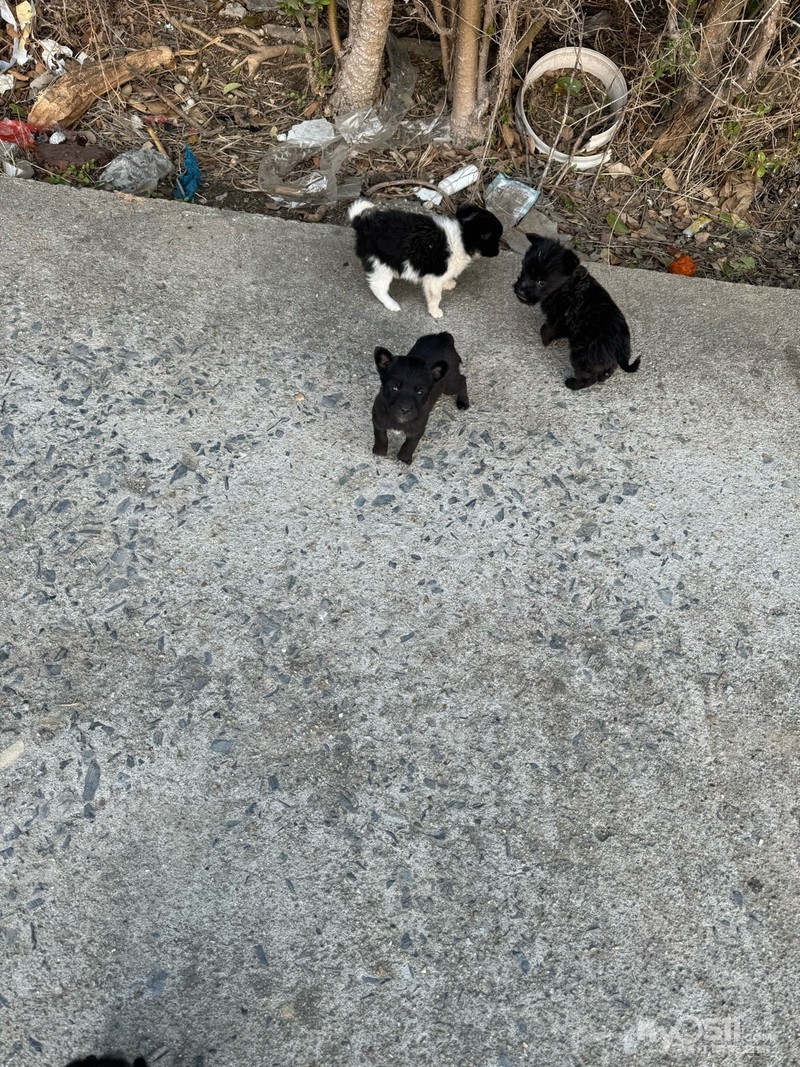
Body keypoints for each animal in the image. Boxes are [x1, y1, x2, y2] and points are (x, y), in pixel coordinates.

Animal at [349, 199, 503, 319]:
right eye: (495, 239)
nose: (498, 252)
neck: (463, 235)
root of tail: (362, 226)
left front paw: (448, 283)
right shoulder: (434, 277)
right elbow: (436, 297)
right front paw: (435, 312)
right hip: (380, 264)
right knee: (378, 287)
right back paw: (391, 304)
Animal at [372, 332, 469, 464]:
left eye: (420, 392)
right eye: (394, 388)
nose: (405, 410)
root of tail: (443, 336)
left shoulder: (417, 430)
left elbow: (410, 444)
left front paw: (404, 458)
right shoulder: (378, 421)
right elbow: (381, 437)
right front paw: (380, 452)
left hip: (450, 385)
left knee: (463, 380)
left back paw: (463, 402)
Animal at [513, 235, 640, 390]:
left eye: (541, 282)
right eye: (524, 269)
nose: (520, 290)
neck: (567, 286)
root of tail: (621, 342)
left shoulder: (559, 319)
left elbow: (547, 328)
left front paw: (545, 339)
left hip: (582, 355)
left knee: (589, 378)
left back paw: (572, 383)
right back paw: (604, 375)